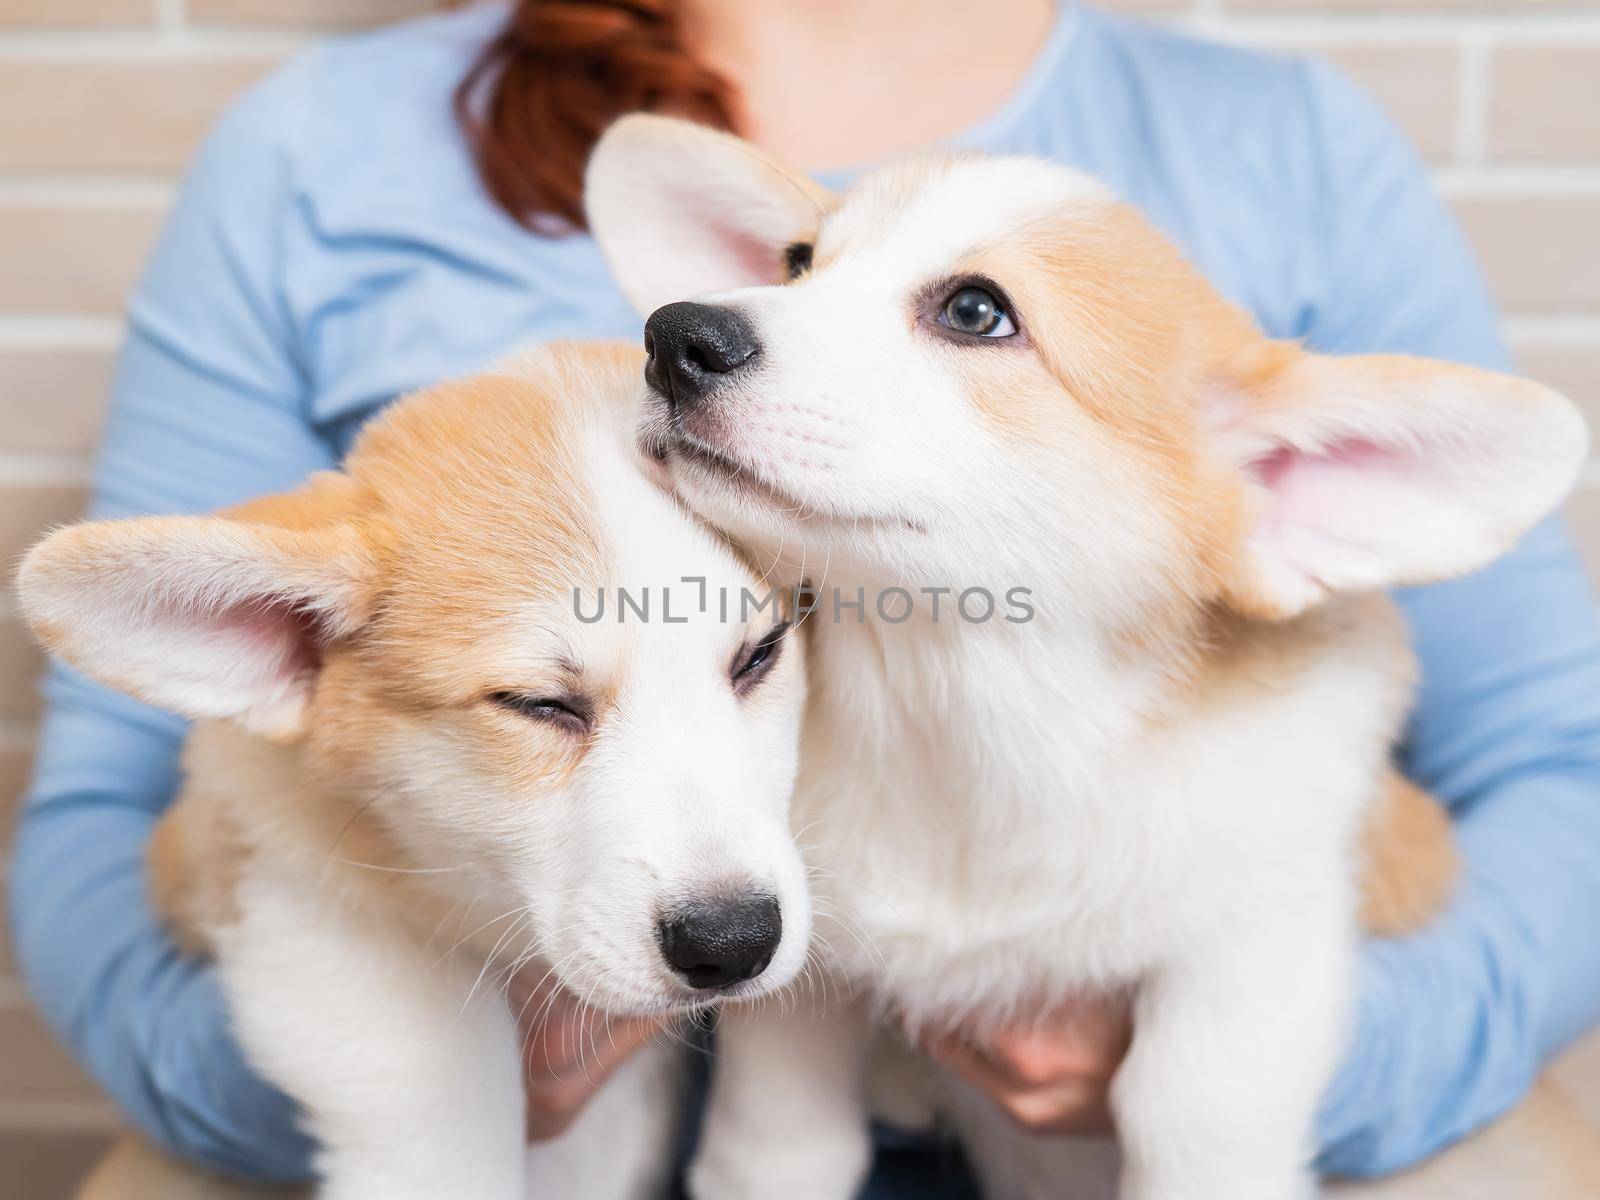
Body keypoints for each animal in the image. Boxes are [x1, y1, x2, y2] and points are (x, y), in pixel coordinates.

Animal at [588, 115, 1587, 1200]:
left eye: (976, 312)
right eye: (796, 262)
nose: (674, 336)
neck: (964, 718)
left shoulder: (1254, 951)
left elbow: (1187, 1113)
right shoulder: (800, 997)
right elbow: (780, 1143)